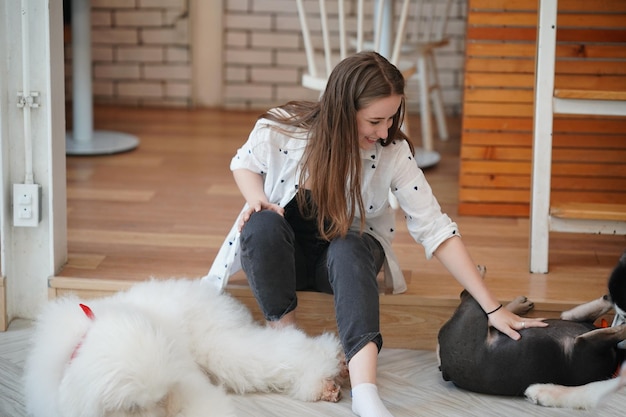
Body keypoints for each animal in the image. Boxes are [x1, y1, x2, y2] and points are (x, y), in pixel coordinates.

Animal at [23, 276, 346, 416]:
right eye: (131, 408)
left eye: (155, 400)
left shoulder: (185, 382)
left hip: (222, 348)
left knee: (285, 349)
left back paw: (326, 370)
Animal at [436, 250, 624, 406]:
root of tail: (444, 366)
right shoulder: (585, 342)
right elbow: (617, 331)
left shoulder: (574, 320)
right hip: (471, 316)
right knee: (470, 295)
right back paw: (482, 274)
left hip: (473, 318)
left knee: (485, 308)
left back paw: (517, 304)